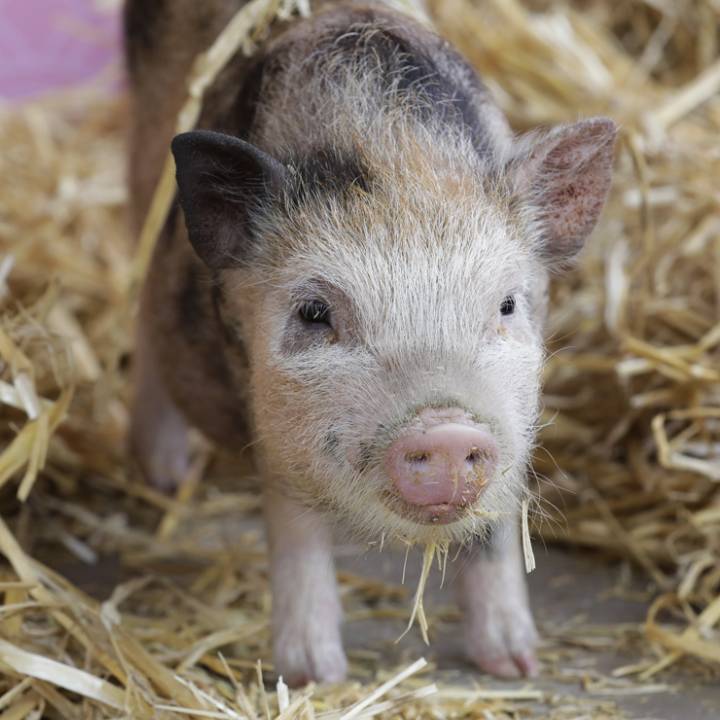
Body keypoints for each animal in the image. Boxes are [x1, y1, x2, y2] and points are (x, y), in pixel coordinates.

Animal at [124, 0, 616, 686]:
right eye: (314, 313)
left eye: (507, 305)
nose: (447, 430)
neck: (388, 143)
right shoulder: (274, 424)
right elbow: (297, 530)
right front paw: (315, 676)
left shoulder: (513, 423)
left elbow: (492, 537)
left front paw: (517, 663)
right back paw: (166, 479)